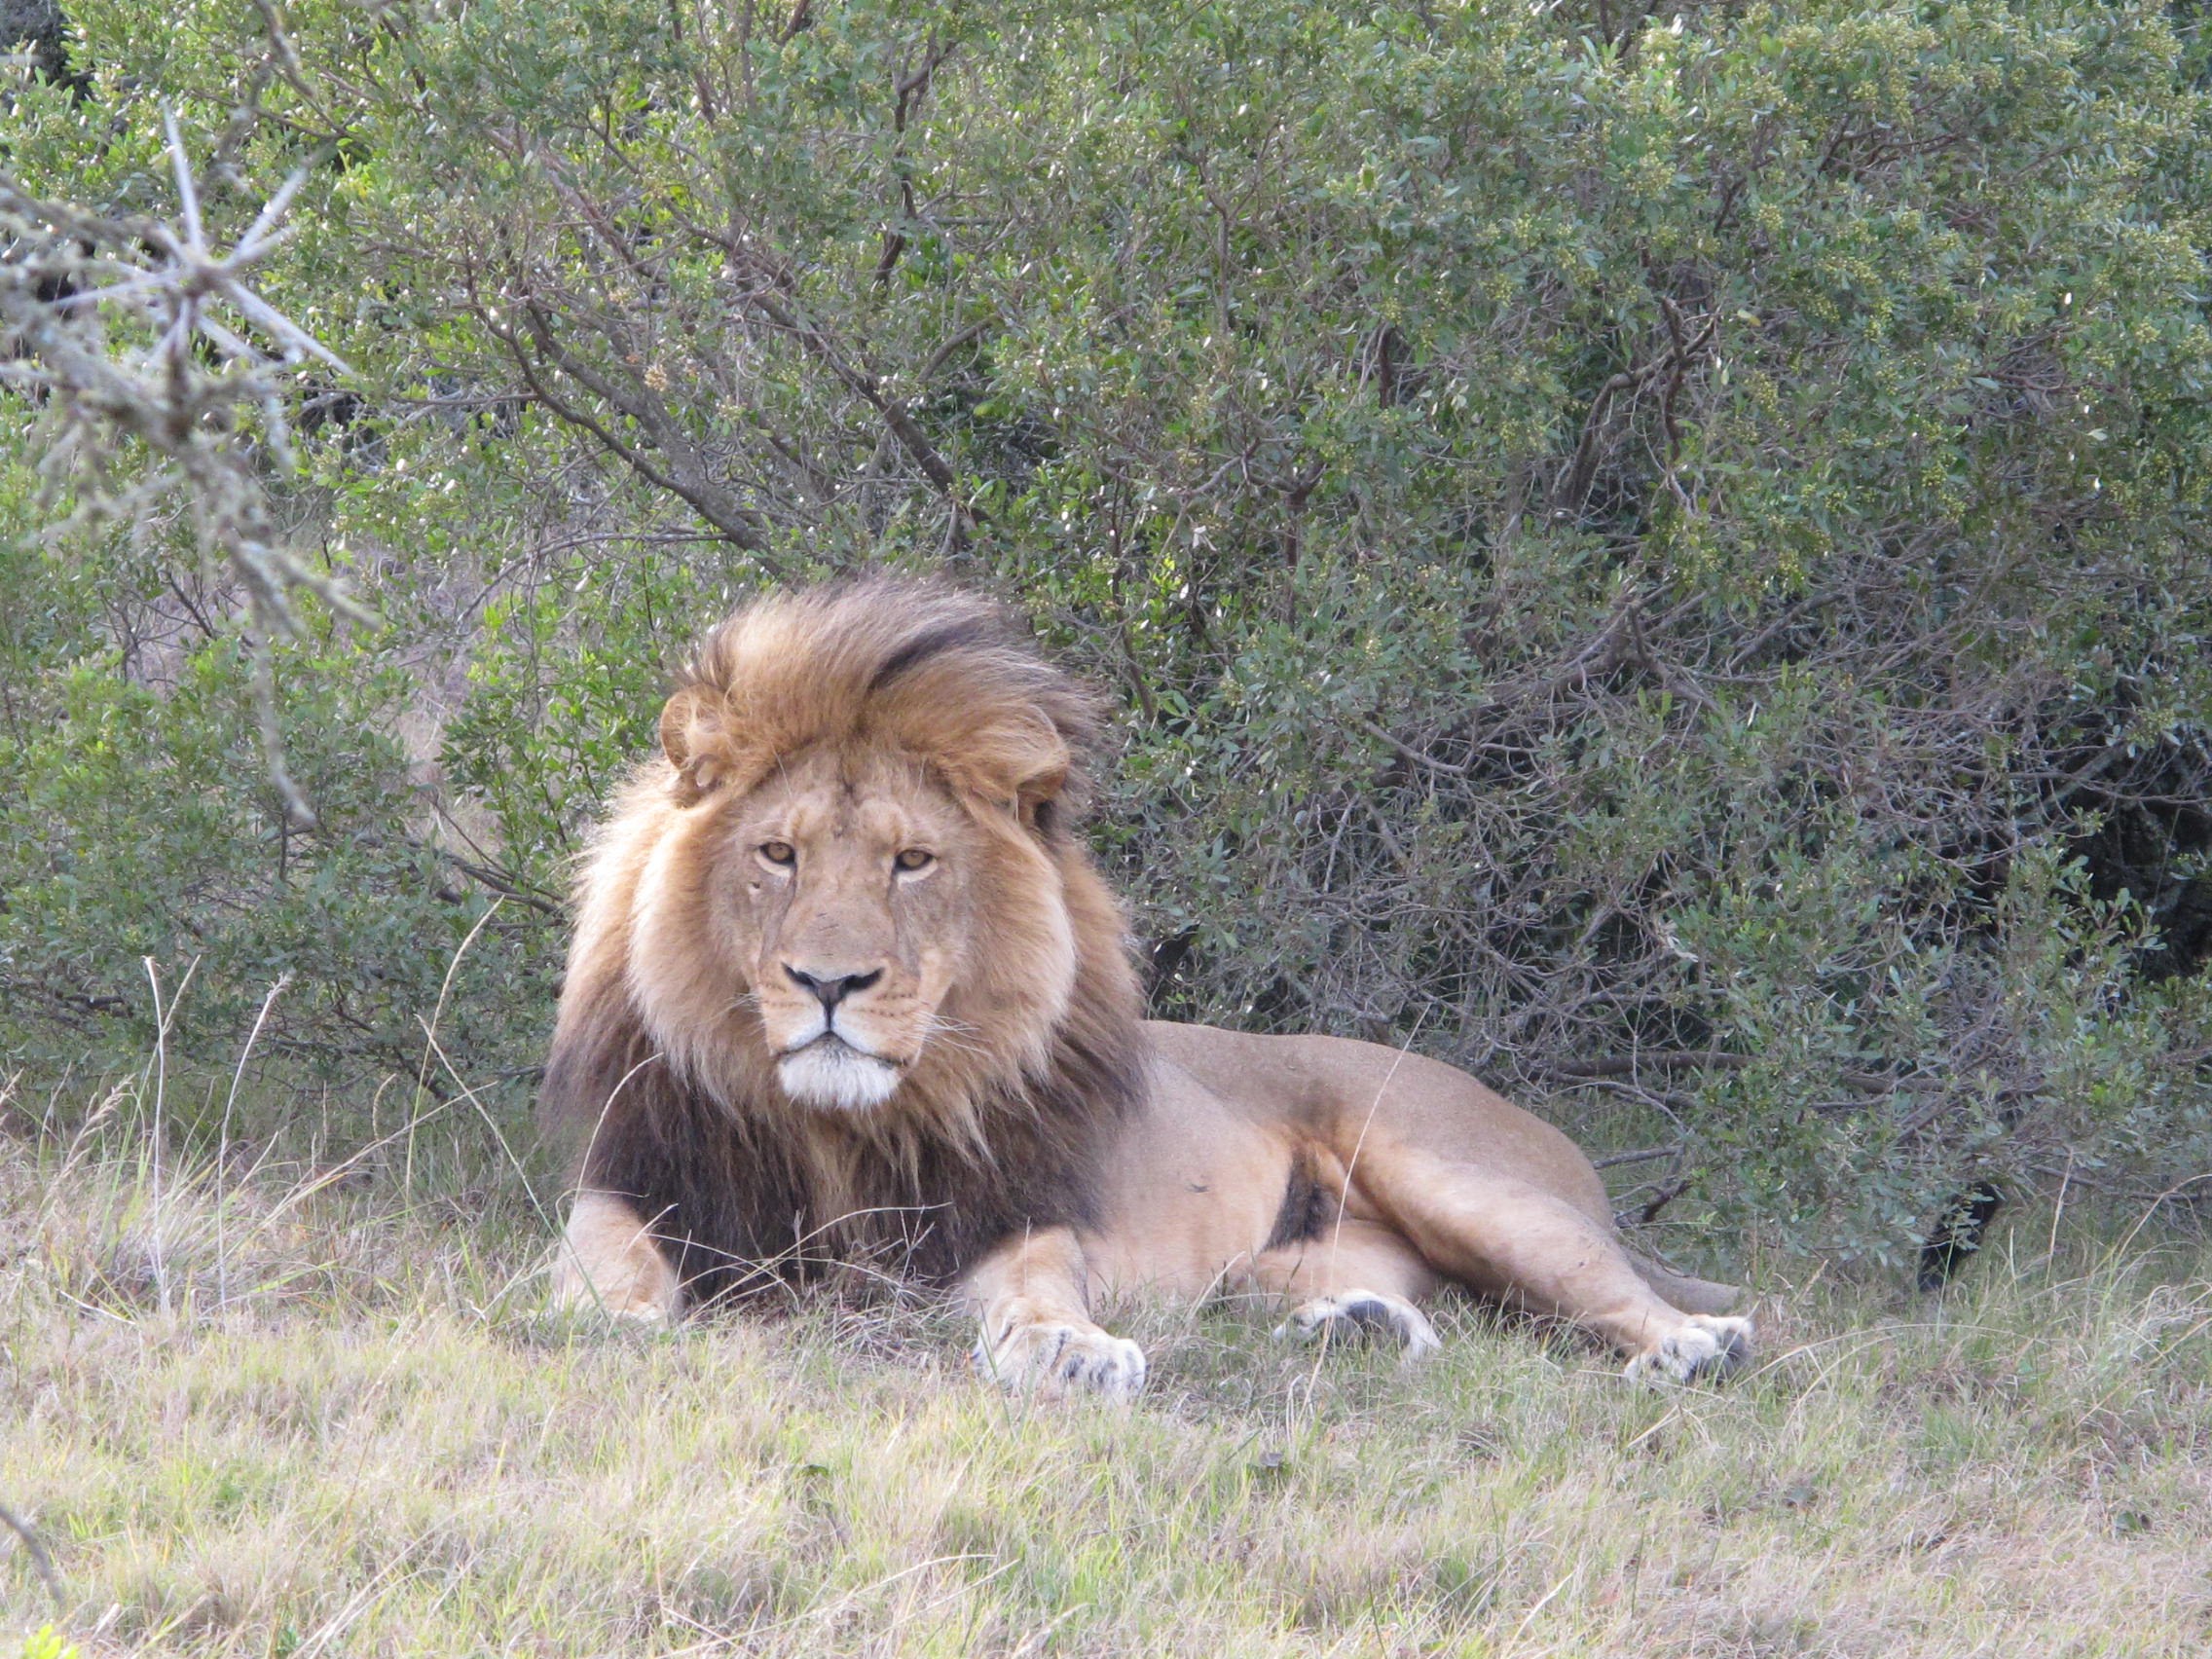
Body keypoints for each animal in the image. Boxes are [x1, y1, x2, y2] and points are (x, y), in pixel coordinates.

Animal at [544, 580, 1753, 1396]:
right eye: (779, 855)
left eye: (911, 862)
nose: (828, 981)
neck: (840, 1134)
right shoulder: (634, 1182)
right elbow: (598, 1261)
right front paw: (609, 1322)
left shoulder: (1017, 1217)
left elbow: (1037, 1292)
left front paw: (1070, 1351)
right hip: (1280, 1270)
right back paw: (1360, 1329)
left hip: (1461, 1177)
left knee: (1617, 1293)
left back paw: (1691, 1347)